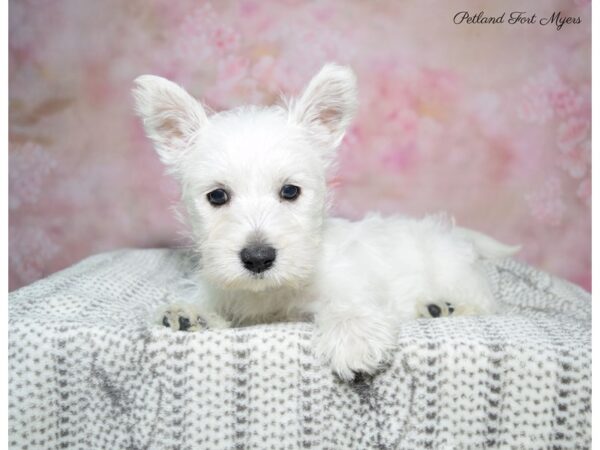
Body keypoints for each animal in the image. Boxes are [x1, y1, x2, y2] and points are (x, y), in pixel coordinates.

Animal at [134, 63, 516, 380]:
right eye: (217, 196)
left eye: (290, 191)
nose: (258, 258)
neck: (271, 293)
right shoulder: (220, 286)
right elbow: (206, 299)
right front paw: (189, 314)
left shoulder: (348, 279)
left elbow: (347, 301)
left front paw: (354, 336)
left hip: (457, 273)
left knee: (484, 303)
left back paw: (444, 307)